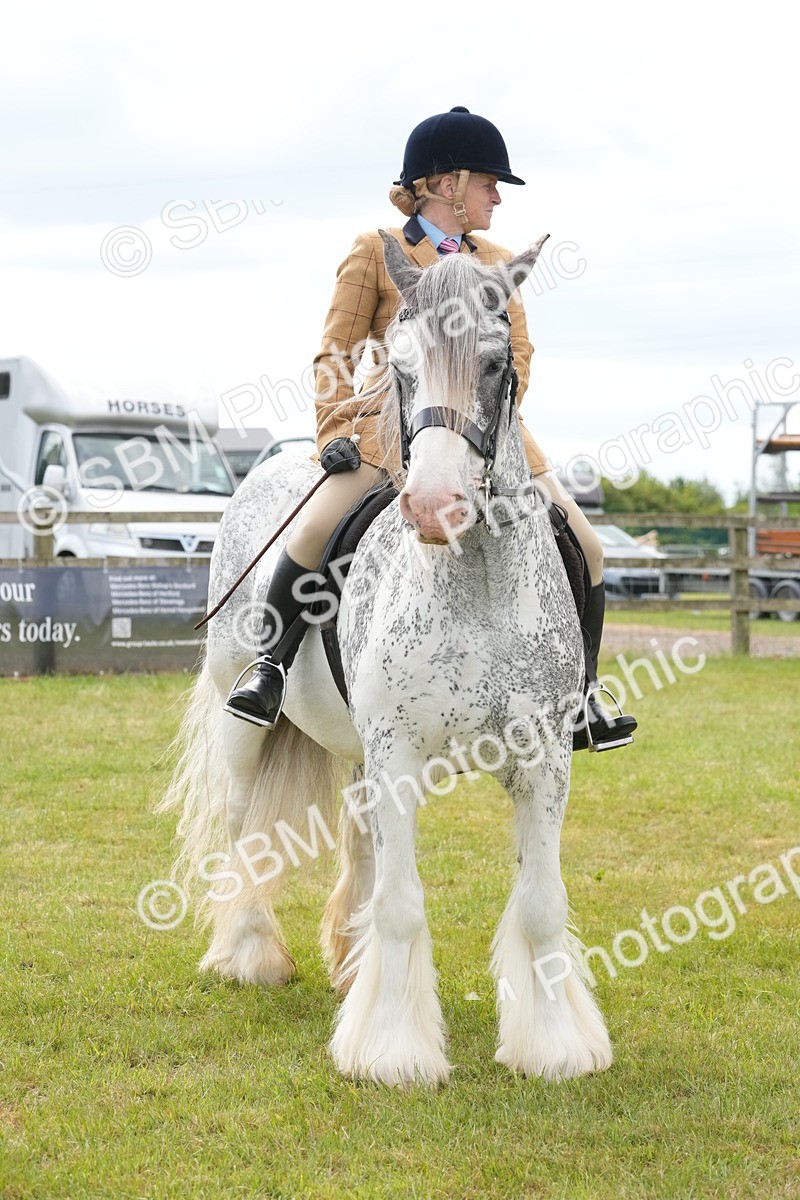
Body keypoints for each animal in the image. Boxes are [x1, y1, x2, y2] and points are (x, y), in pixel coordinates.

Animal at [159, 231, 613, 1086]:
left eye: (498, 362)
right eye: (399, 366)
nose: (434, 506)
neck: (475, 582)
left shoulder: (543, 760)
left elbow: (541, 904)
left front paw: (553, 1045)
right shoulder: (398, 751)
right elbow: (404, 902)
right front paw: (394, 1052)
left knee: (359, 836)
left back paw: (349, 963)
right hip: (247, 721)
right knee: (241, 826)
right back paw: (248, 953)